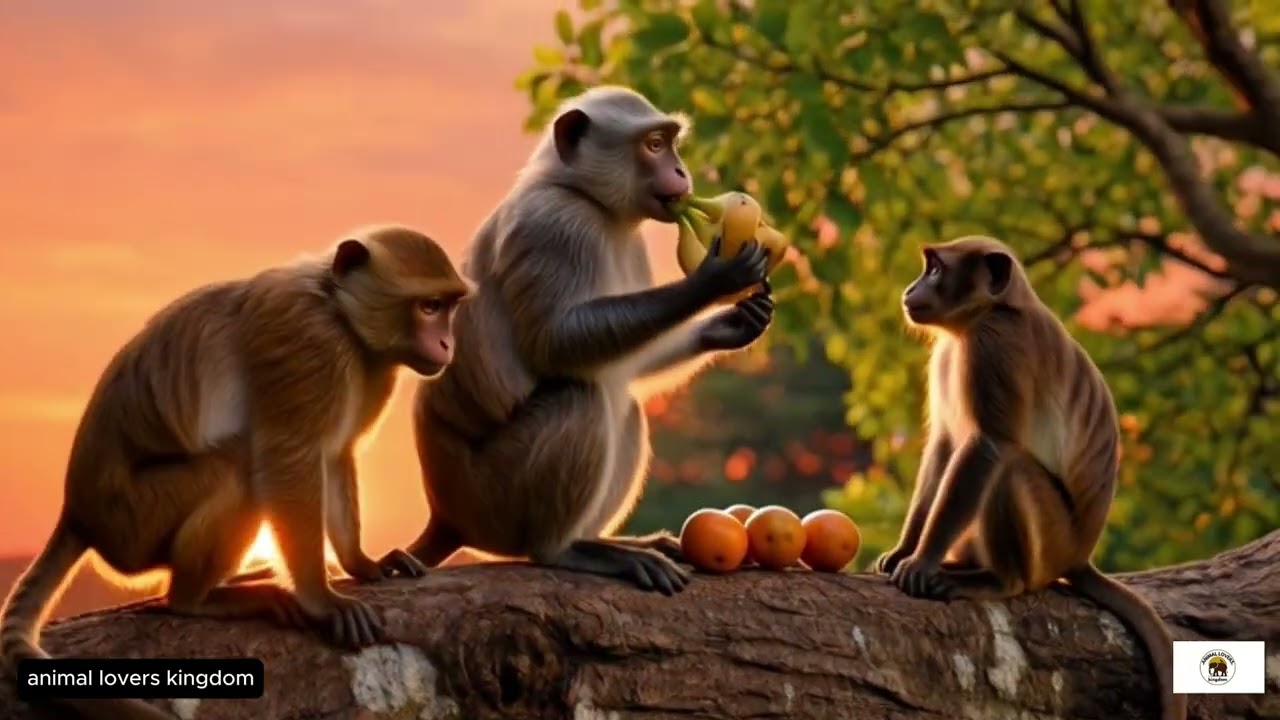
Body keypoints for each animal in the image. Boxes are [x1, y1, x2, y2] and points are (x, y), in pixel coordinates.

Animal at [1, 225, 470, 720]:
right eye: (429, 306)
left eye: (449, 306)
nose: (447, 344)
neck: (339, 312)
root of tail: (77, 509)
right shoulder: (310, 346)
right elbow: (290, 457)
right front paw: (320, 600)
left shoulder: (373, 366)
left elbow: (335, 452)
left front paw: (361, 562)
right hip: (132, 519)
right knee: (237, 472)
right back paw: (195, 599)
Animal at [383, 86, 774, 595]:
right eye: (654, 145)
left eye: (670, 143)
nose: (681, 172)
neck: (581, 194)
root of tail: (446, 512)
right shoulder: (558, 225)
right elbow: (555, 342)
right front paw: (716, 279)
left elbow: (626, 364)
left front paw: (735, 323)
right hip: (493, 495)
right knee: (581, 395)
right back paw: (564, 550)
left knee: (623, 405)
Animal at [871, 235, 1185, 720]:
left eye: (937, 270)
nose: (911, 289)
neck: (988, 314)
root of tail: (1079, 556)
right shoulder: (949, 355)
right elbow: (943, 445)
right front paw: (907, 549)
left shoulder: (997, 347)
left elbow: (987, 447)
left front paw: (921, 561)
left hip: (1053, 539)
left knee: (1011, 468)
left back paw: (997, 581)